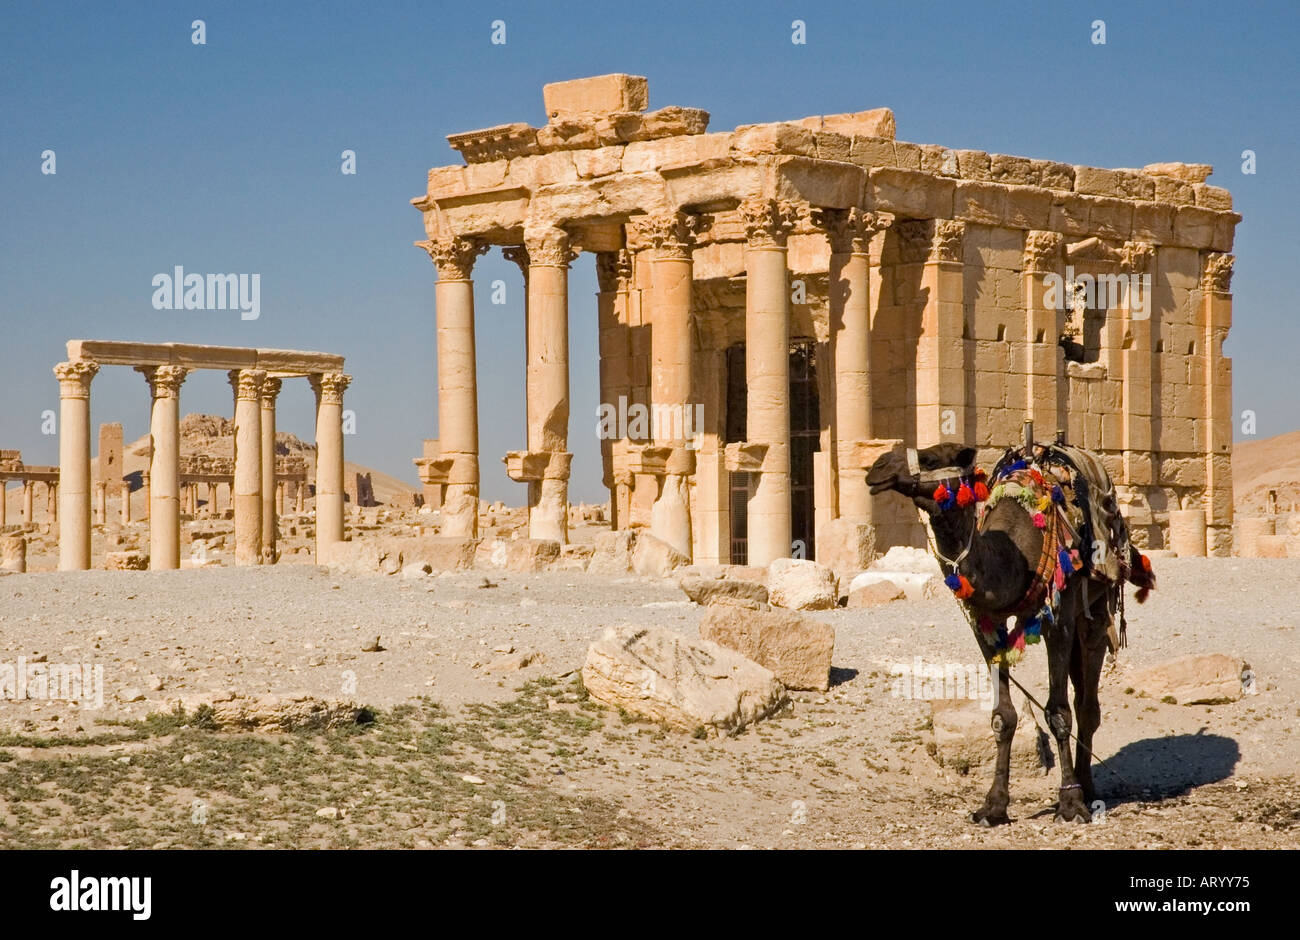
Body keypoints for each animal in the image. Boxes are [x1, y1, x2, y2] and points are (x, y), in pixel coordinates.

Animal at [863, 442, 1159, 821]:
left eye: (929, 458)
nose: (877, 467)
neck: (1012, 557)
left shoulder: (1057, 619)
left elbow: (1057, 713)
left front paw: (1071, 803)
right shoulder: (987, 625)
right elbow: (1002, 716)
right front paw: (993, 805)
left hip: (1094, 609)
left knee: (1087, 703)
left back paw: (1087, 789)